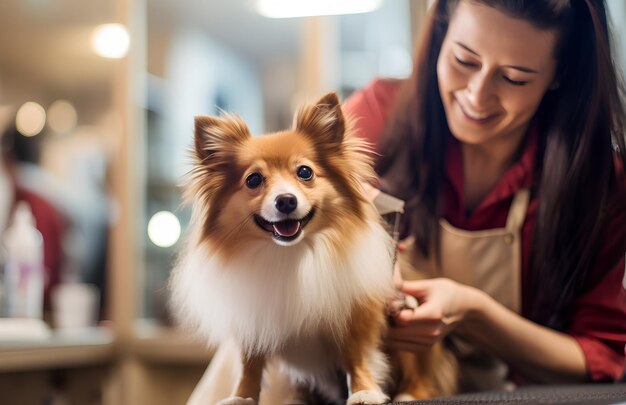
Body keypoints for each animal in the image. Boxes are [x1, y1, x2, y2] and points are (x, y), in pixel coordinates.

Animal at [168, 93, 394, 402]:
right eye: (253, 180)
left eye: (305, 172)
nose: (285, 200)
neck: (287, 254)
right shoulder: (252, 319)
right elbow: (249, 364)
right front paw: (242, 396)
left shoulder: (354, 312)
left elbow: (355, 355)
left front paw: (364, 392)